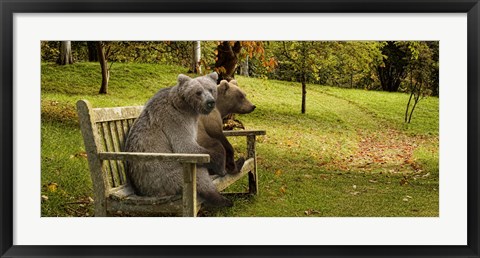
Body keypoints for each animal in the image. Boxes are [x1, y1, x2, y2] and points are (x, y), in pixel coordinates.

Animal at [124, 72, 232, 208]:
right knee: (199, 176)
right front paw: (222, 165)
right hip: (163, 174)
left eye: (211, 89)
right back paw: (222, 199)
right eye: (198, 92)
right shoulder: (175, 120)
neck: (188, 108)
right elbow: (186, 147)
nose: (210, 102)